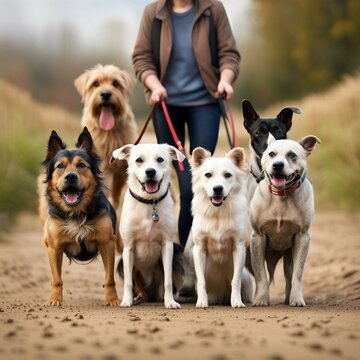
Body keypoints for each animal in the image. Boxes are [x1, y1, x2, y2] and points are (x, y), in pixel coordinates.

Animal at [38, 126, 121, 306]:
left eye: (81, 165)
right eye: (60, 166)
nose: (70, 176)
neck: (76, 212)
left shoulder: (107, 243)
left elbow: (109, 278)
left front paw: (112, 299)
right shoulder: (54, 247)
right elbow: (56, 279)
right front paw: (54, 299)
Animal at [74, 63, 138, 207]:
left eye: (115, 83)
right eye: (96, 84)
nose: (106, 94)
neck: (109, 132)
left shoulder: (121, 172)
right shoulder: (103, 168)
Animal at [111, 143, 186, 310]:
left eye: (160, 159)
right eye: (139, 160)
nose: (150, 172)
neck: (149, 202)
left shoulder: (168, 246)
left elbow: (168, 281)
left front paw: (170, 302)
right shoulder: (128, 249)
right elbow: (128, 282)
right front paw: (126, 301)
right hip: (122, 263)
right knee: (138, 286)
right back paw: (138, 297)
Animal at [184, 146, 255, 306]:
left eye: (228, 175)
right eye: (208, 175)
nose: (218, 188)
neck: (218, 213)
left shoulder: (239, 247)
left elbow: (235, 280)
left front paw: (236, 302)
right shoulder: (199, 249)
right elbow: (201, 281)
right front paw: (202, 302)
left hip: (247, 278)